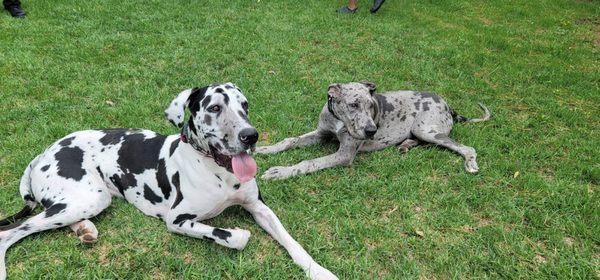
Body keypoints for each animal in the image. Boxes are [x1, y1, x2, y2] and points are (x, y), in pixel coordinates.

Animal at [0, 83, 338, 280]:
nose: (250, 136)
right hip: (87, 197)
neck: (220, 172)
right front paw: (238, 234)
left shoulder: (260, 208)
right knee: (11, 233)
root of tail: (44, 152)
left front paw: (318, 270)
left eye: (245, 105)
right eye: (215, 107)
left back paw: (85, 229)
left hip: (86, 200)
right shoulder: (177, 219)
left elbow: (292, 241)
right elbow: (233, 237)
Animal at [256, 81, 488, 182]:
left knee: (466, 147)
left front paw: (280, 172)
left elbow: (309, 162)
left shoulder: (345, 154)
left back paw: (471, 164)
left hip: (425, 129)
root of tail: (449, 106)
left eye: (371, 106)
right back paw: (405, 145)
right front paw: (265, 148)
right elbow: (290, 140)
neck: (339, 121)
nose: (372, 131)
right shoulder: (321, 133)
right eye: (353, 105)